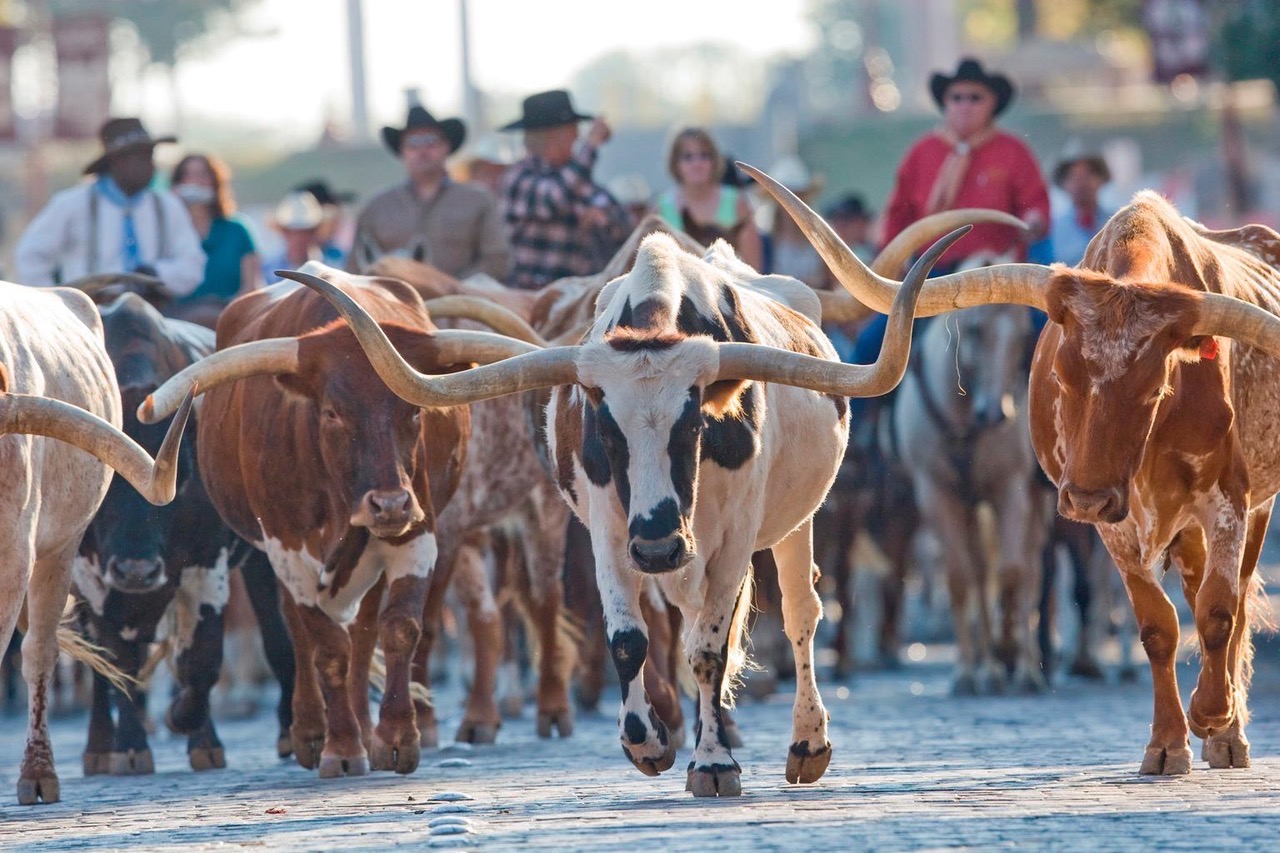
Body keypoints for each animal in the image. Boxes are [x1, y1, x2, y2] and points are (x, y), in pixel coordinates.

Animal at [747, 161, 1280, 778]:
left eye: (1157, 386)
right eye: (1060, 375)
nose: (1085, 500)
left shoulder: (1227, 501)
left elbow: (1220, 610)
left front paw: (1214, 716)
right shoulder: (1113, 524)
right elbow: (1157, 625)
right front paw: (1167, 743)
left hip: (1249, 507)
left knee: (1230, 601)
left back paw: (1228, 734)